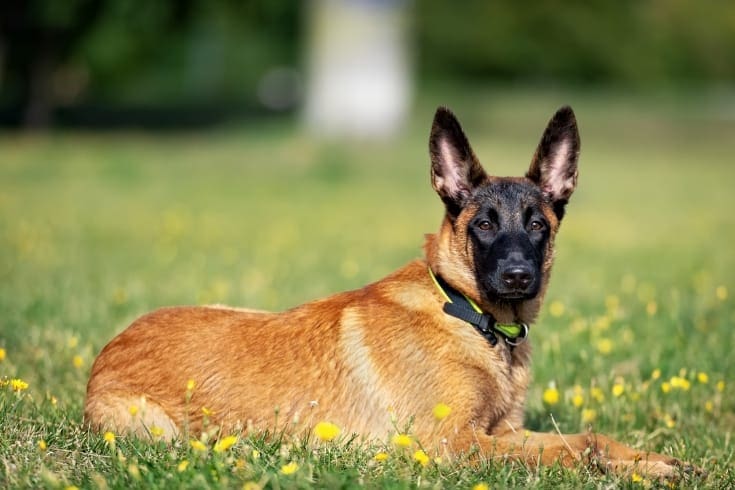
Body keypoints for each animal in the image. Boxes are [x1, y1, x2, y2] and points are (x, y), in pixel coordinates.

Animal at [85, 105, 688, 476]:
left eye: (537, 225)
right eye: (484, 225)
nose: (518, 276)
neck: (470, 315)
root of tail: (106, 355)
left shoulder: (501, 432)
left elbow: (585, 437)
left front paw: (651, 461)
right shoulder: (454, 444)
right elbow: (569, 453)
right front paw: (632, 470)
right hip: (159, 432)